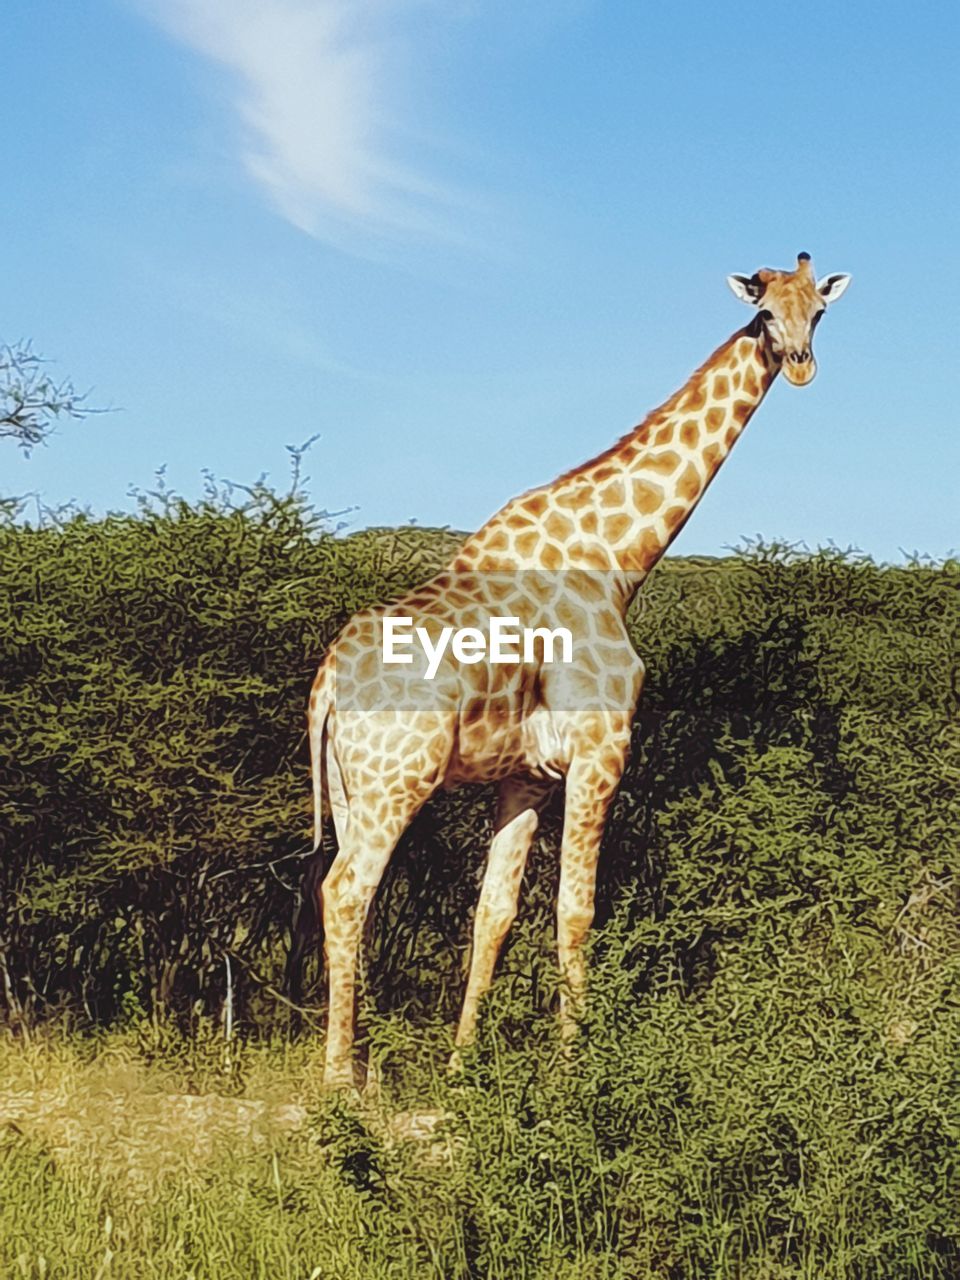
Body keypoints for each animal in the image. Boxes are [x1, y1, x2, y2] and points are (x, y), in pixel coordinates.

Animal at [300, 252, 849, 1090]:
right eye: (764, 313)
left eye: (818, 311)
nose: (799, 365)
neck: (618, 558)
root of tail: (329, 680)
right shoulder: (602, 747)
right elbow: (577, 908)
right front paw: (573, 1067)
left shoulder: (525, 774)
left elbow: (494, 911)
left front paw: (462, 1067)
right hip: (399, 777)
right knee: (345, 892)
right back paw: (340, 1084)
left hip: (349, 786)